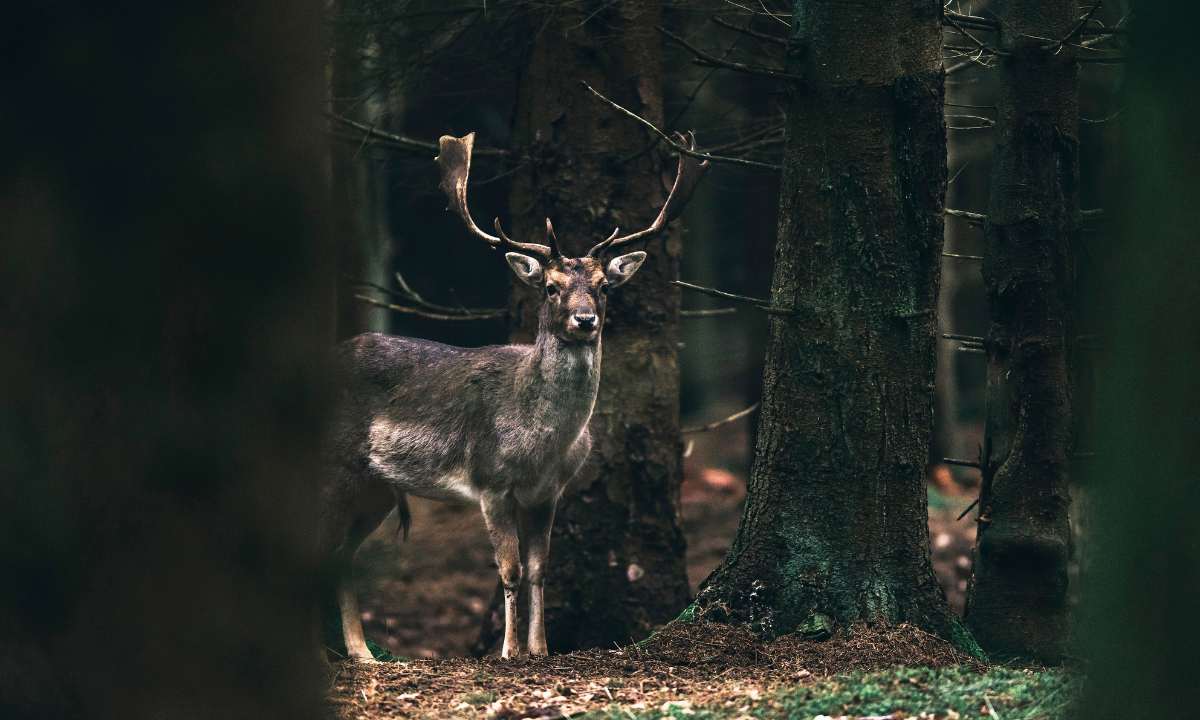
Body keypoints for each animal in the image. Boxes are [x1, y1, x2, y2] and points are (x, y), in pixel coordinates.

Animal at [319, 132, 707, 661]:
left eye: (604, 286)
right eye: (550, 287)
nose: (585, 320)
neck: (542, 443)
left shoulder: (549, 492)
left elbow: (541, 569)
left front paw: (539, 648)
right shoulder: (490, 481)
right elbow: (509, 569)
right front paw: (507, 651)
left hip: (375, 486)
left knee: (341, 555)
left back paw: (360, 653)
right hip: (336, 466)